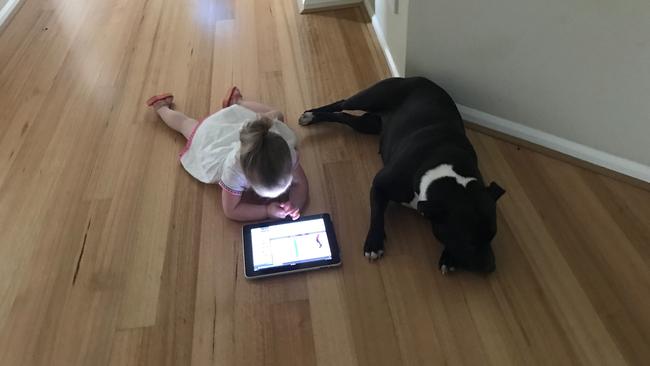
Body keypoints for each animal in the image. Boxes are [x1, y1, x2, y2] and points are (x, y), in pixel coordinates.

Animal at [300, 77, 506, 274]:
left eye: (492, 235)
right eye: (468, 241)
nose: (491, 268)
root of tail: (420, 79)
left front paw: (449, 257)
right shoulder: (379, 185)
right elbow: (376, 214)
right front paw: (374, 242)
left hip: (366, 125)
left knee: (344, 117)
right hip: (369, 98)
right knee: (342, 103)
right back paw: (311, 115)